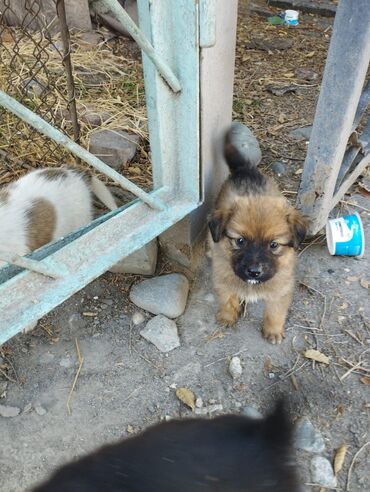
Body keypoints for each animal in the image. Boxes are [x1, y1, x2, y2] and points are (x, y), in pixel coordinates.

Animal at [208, 125, 306, 344]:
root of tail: (245, 169)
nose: (254, 272)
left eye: (274, 245)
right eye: (240, 241)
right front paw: (227, 317)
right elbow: (227, 299)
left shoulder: (280, 290)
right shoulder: (223, 280)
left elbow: (275, 312)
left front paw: (273, 331)